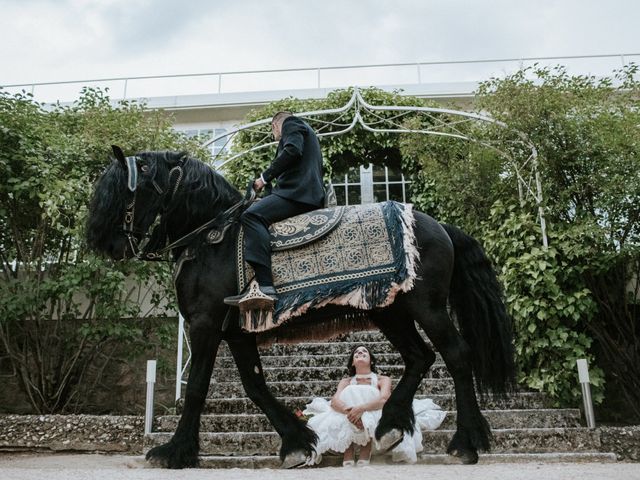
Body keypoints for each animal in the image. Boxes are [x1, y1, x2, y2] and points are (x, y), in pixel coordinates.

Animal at [86, 147, 516, 468]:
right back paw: (391, 427)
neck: (212, 238)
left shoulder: (205, 326)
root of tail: (441, 226)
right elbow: (255, 385)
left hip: (427, 308)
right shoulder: (236, 331)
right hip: (390, 311)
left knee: (456, 355)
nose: (106, 243)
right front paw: (298, 443)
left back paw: (466, 442)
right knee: (419, 357)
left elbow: (196, 389)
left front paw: (174, 451)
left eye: (124, 191)